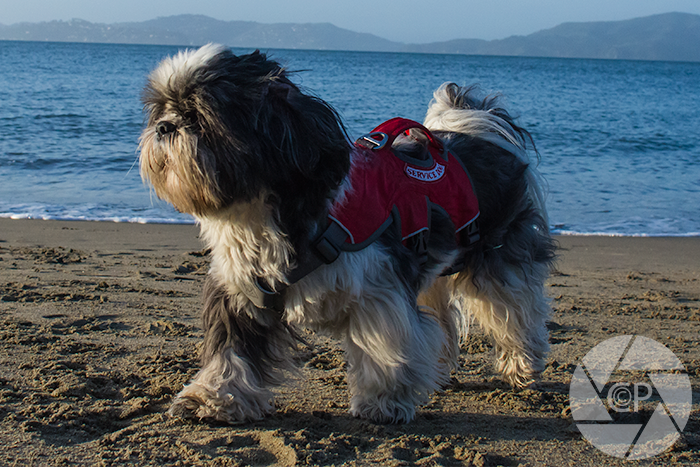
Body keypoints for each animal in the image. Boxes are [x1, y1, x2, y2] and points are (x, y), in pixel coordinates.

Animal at [139, 44, 556, 428]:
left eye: (199, 113)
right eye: (160, 110)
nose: (164, 127)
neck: (266, 217)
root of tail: (477, 134)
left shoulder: (378, 291)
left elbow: (386, 347)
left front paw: (384, 402)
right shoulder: (243, 292)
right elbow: (231, 353)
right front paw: (212, 398)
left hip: (497, 262)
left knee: (515, 312)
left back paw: (522, 365)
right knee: (441, 322)